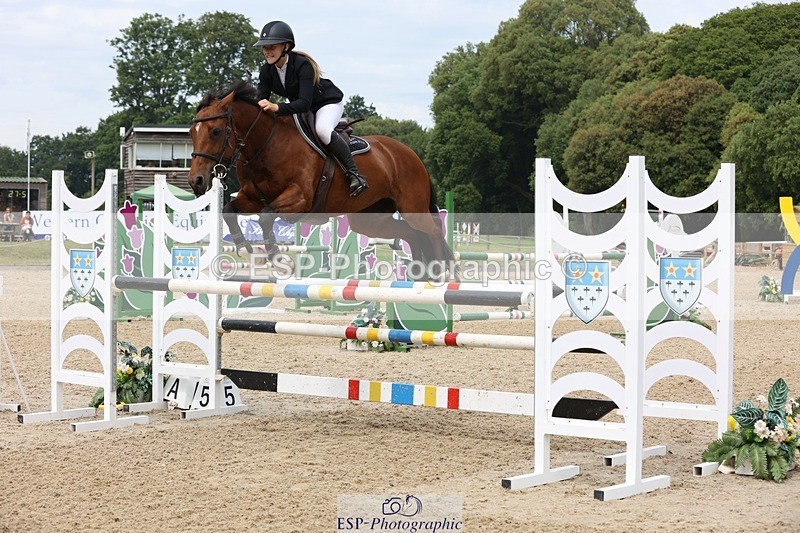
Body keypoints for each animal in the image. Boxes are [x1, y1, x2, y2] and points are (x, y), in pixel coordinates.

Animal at [188, 81, 455, 278]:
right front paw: (246, 250)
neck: (267, 145)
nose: (196, 181)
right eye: (191, 132)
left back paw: (442, 272)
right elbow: (229, 211)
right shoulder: (252, 197)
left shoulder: (299, 198)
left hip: (412, 208)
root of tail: (412, 154)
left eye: (216, 131)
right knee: (410, 234)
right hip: (370, 219)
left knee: (432, 230)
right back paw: (419, 274)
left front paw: (280, 259)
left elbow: (265, 216)